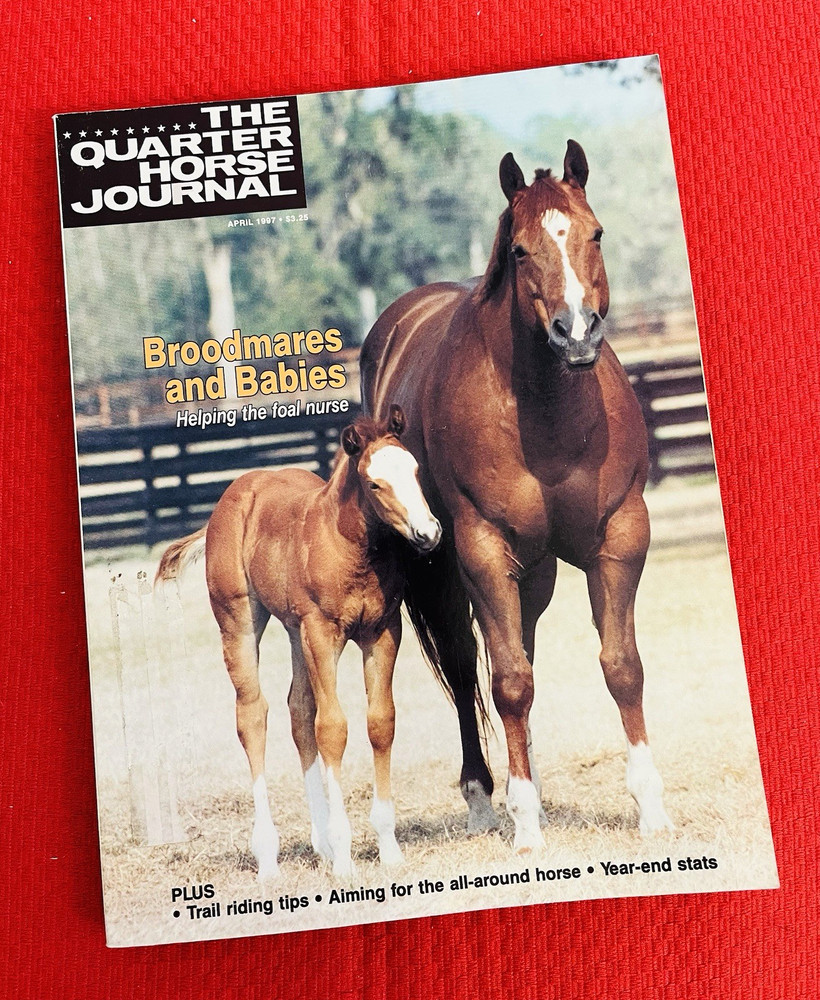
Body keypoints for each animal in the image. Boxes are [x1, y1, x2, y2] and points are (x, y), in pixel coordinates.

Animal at [155, 405, 442, 879]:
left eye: (416, 470)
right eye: (374, 484)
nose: (428, 533)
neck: (352, 549)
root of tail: (230, 499)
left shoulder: (381, 632)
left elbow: (379, 723)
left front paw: (388, 849)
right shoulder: (322, 632)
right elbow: (334, 728)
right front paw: (344, 858)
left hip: (294, 631)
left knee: (299, 710)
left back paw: (319, 842)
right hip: (240, 621)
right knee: (253, 715)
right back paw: (268, 858)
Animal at [360, 142, 673, 852]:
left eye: (595, 233)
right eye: (522, 250)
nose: (577, 333)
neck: (548, 417)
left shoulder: (620, 540)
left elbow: (622, 667)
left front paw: (651, 810)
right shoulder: (483, 552)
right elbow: (504, 681)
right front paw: (525, 825)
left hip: (534, 575)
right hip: (448, 573)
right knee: (464, 666)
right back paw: (485, 800)